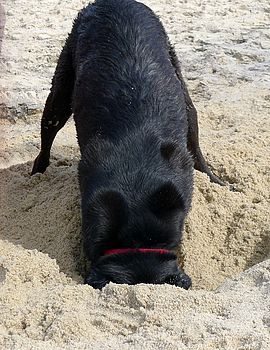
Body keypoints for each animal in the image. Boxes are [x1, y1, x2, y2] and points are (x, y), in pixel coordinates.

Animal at [30, 0, 223, 290]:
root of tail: (112, 2)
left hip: (184, 94)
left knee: (196, 144)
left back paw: (215, 180)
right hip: (60, 93)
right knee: (46, 139)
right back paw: (37, 176)